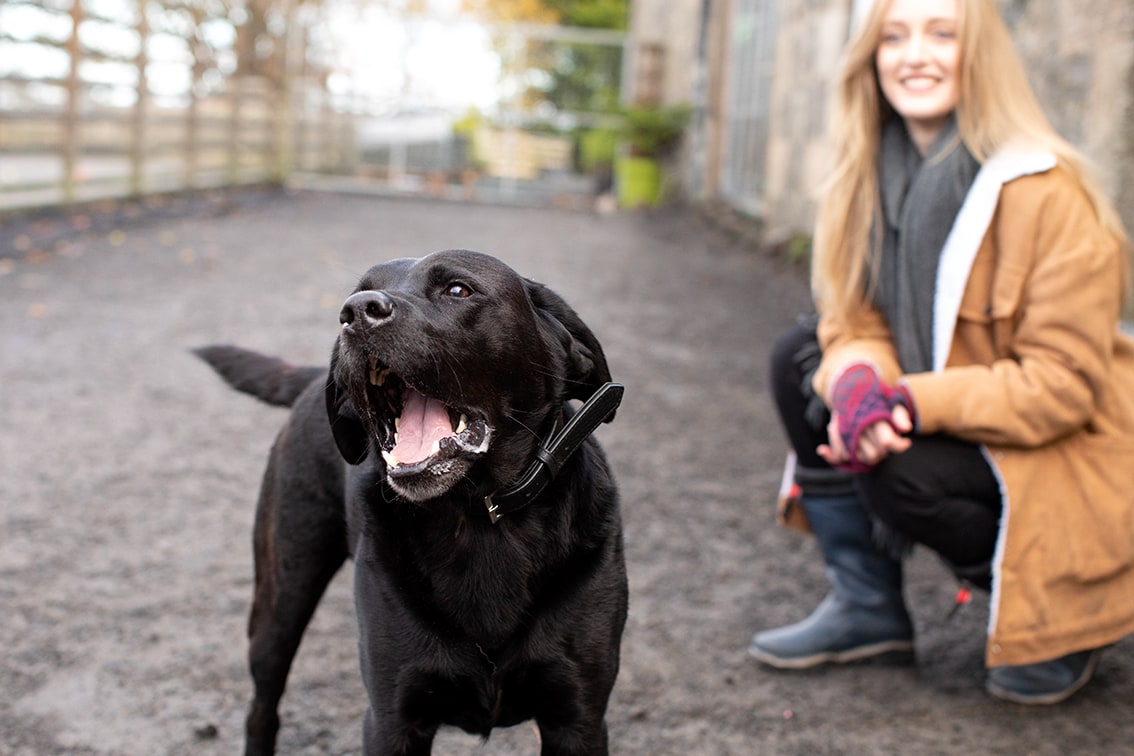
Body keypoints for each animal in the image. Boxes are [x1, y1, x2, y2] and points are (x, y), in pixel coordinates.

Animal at [193, 251, 625, 752]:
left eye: (458, 289)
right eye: (356, 292)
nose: (355, 312)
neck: (479, 519)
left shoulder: (578, 719)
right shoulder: (392, 719)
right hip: (281, 599)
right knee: (262, 707)